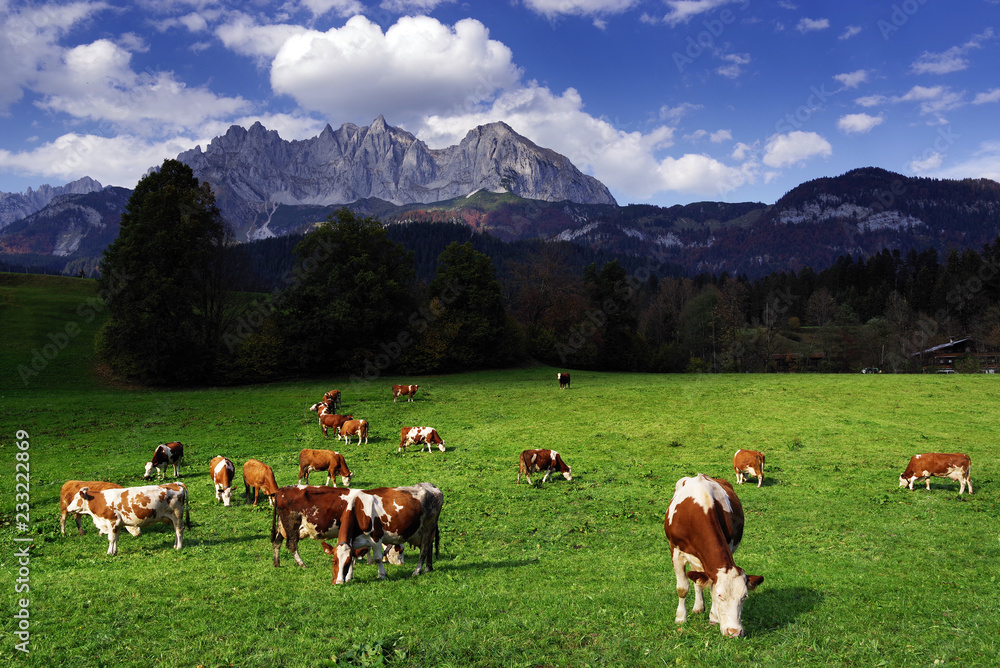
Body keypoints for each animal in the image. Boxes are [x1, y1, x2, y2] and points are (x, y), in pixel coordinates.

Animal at [668, 472, 760, 640]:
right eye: (720, 595)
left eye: (744, 597)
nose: (734, 632)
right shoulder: (676, 551)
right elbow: (682, 588)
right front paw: (680, 618)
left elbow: (708, 583)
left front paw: (713, 617)